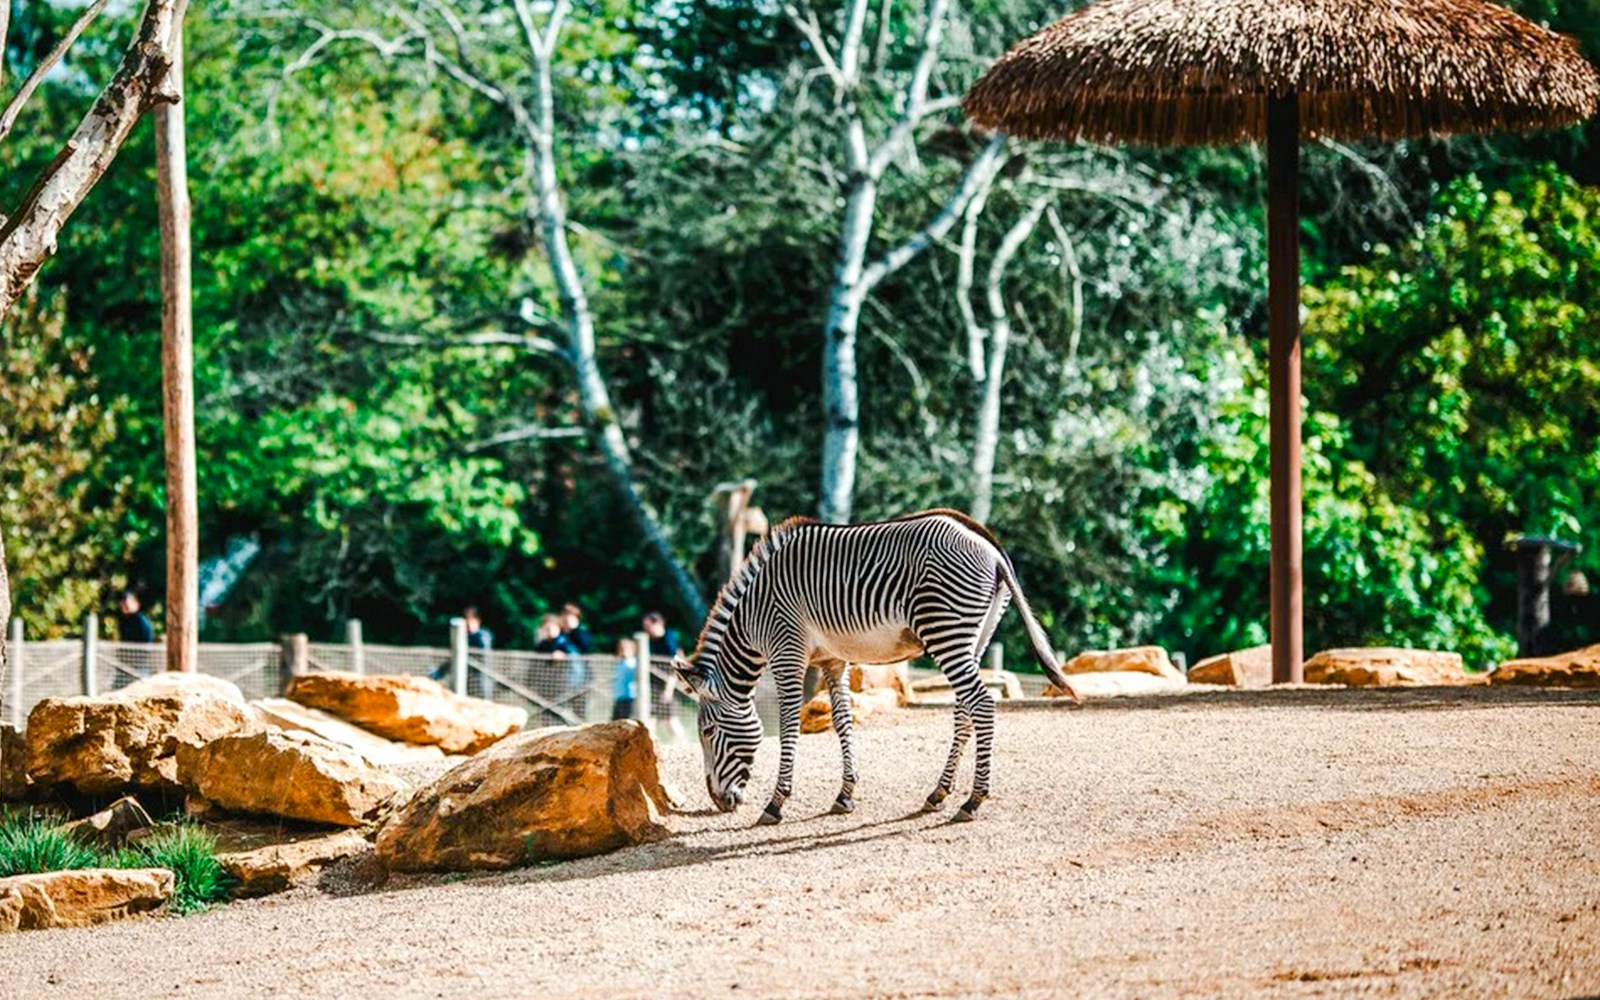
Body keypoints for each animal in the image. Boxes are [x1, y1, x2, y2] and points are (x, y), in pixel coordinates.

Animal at [673, 508, 1082, 825]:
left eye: (707, 732)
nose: (719, 802)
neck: (752, 617)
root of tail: (990, 545)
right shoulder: (832, 659)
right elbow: (841, 720)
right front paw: (845, 795)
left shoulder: (787, 650)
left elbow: (788, 724)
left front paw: (776, 802)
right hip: (975, 636)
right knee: (964, 708)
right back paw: (939, 793)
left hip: (945, 631)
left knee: (981, 704)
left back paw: (972, 800)